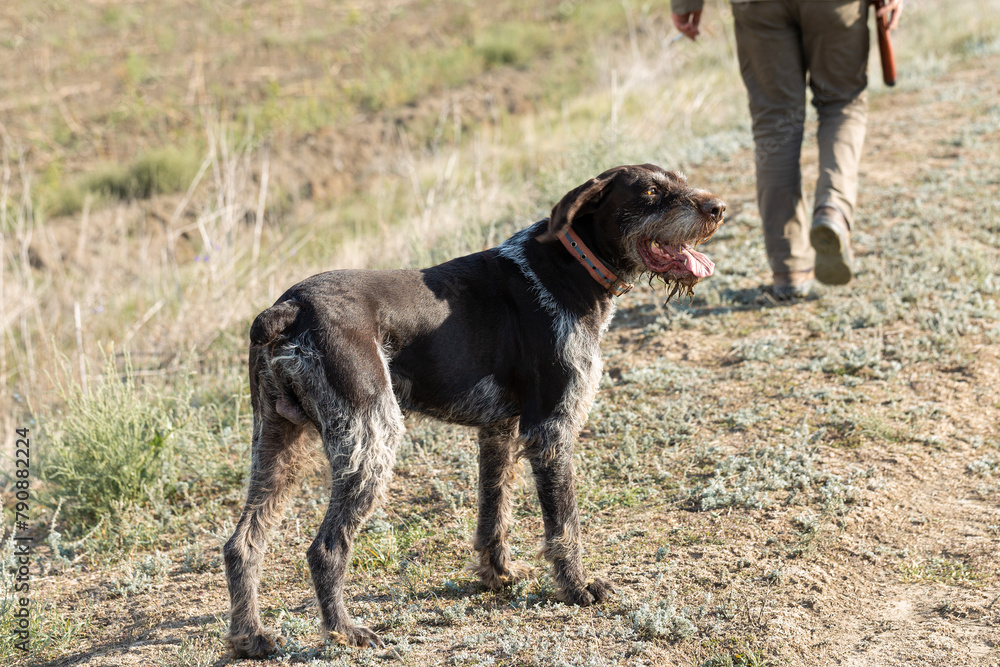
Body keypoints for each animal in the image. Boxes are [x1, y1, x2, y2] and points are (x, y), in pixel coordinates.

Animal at [223, 163, 724, 656]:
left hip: (277, 444)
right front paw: (577, 588)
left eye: (679, 180)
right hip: (371, 440)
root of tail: (288, 308)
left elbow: (494, 510)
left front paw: (498, 575)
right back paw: (345, 632)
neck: (569, 268)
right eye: (651, 192)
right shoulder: (551, 430)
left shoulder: (499, 429)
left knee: (241, 544)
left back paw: (251, 636)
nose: (717, 207)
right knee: (325, 549)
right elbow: (564, 523)